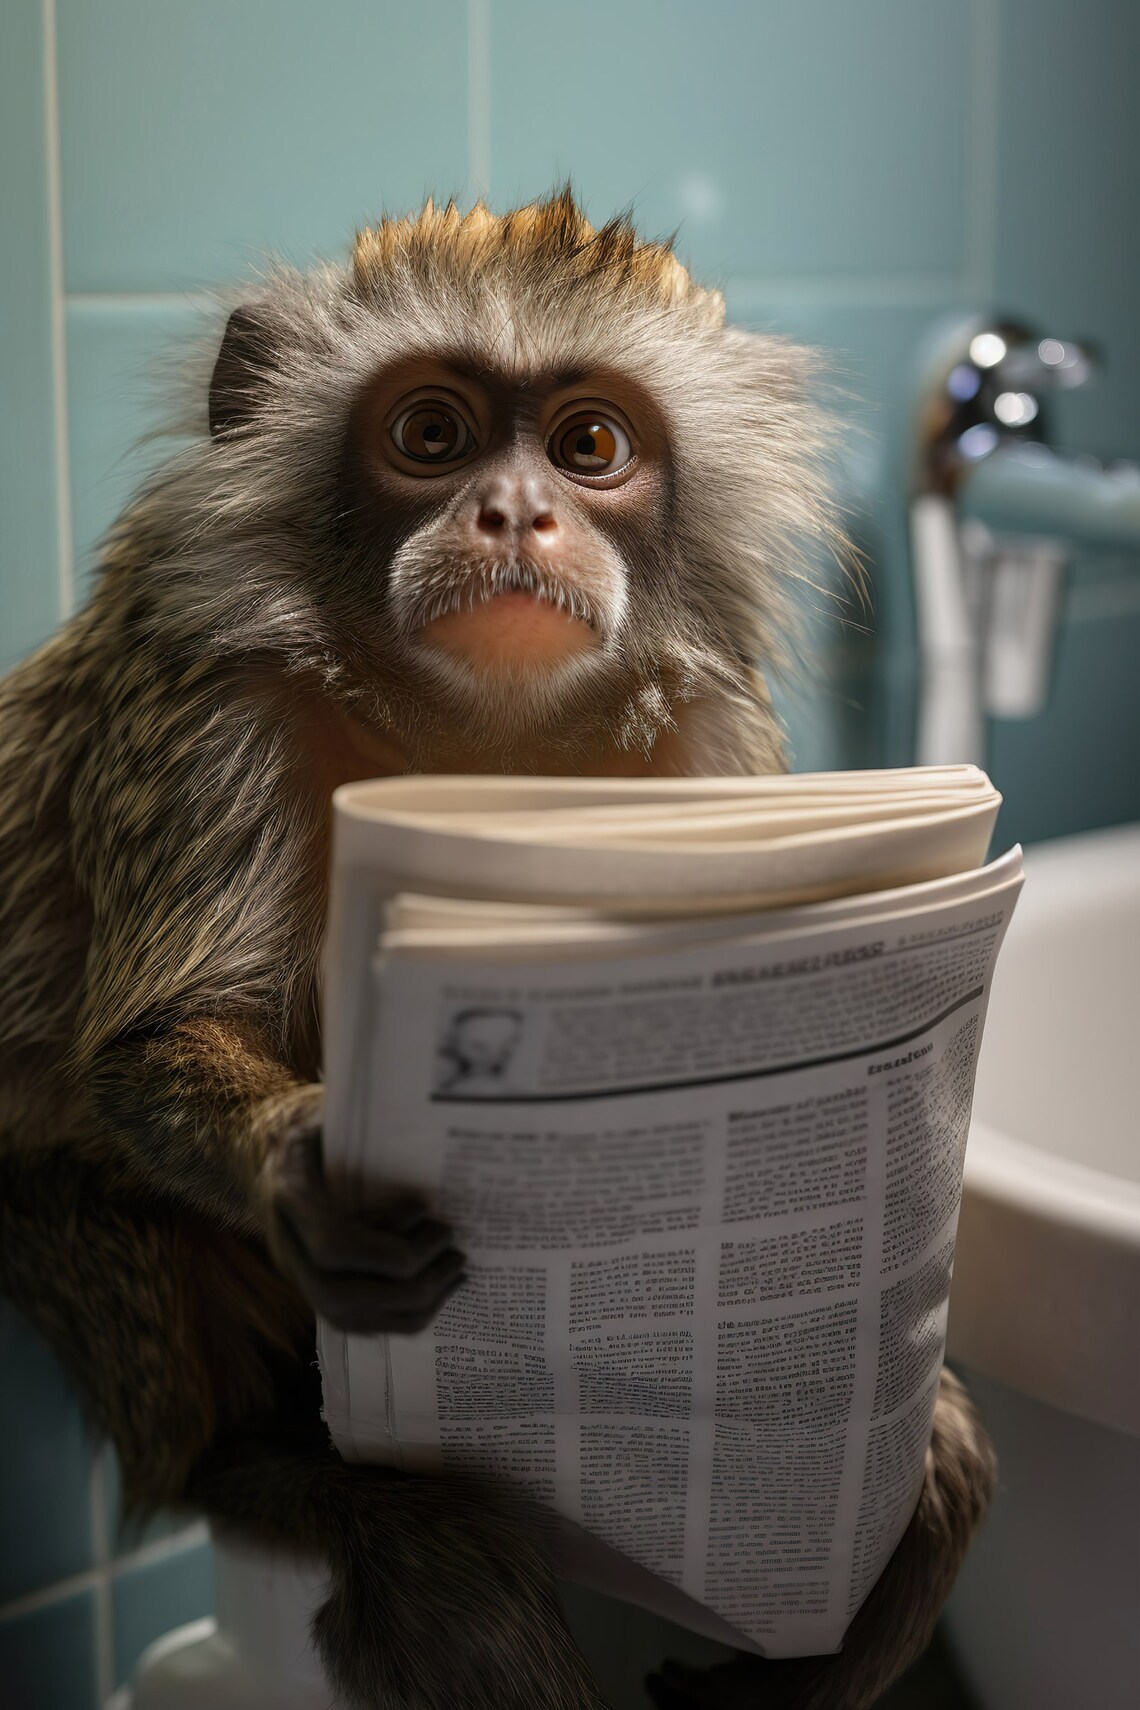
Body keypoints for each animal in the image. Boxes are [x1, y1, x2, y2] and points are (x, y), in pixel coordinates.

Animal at [0, 189, 994, 1710]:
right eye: (431, 434)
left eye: (589, 447)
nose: (516, 509)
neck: (471, 739)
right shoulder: (211, 701)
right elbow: (148, 1046)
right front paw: (303, 1171)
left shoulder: (710, 735)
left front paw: (915, 1395)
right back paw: (288, 1480)